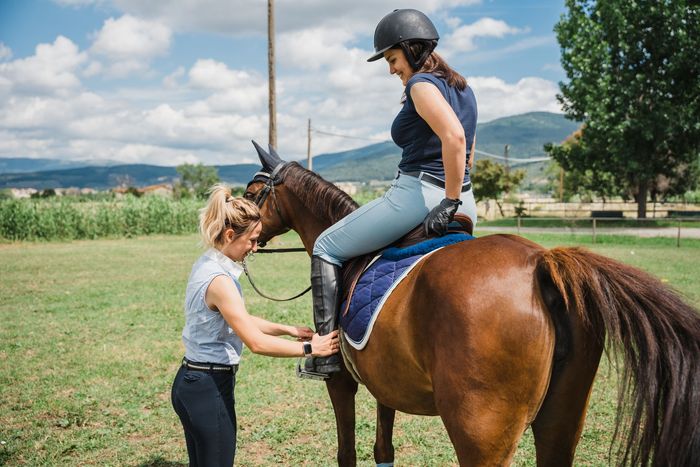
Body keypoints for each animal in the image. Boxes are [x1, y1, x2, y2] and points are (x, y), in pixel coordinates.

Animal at [245, 144, 700, 467]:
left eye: (251, 192)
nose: (241, 235)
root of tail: (541, 263)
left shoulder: (342, 382)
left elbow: (347, 453)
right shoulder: (385, 381)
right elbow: (383, 449)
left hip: (481, 430)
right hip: (562, 418)